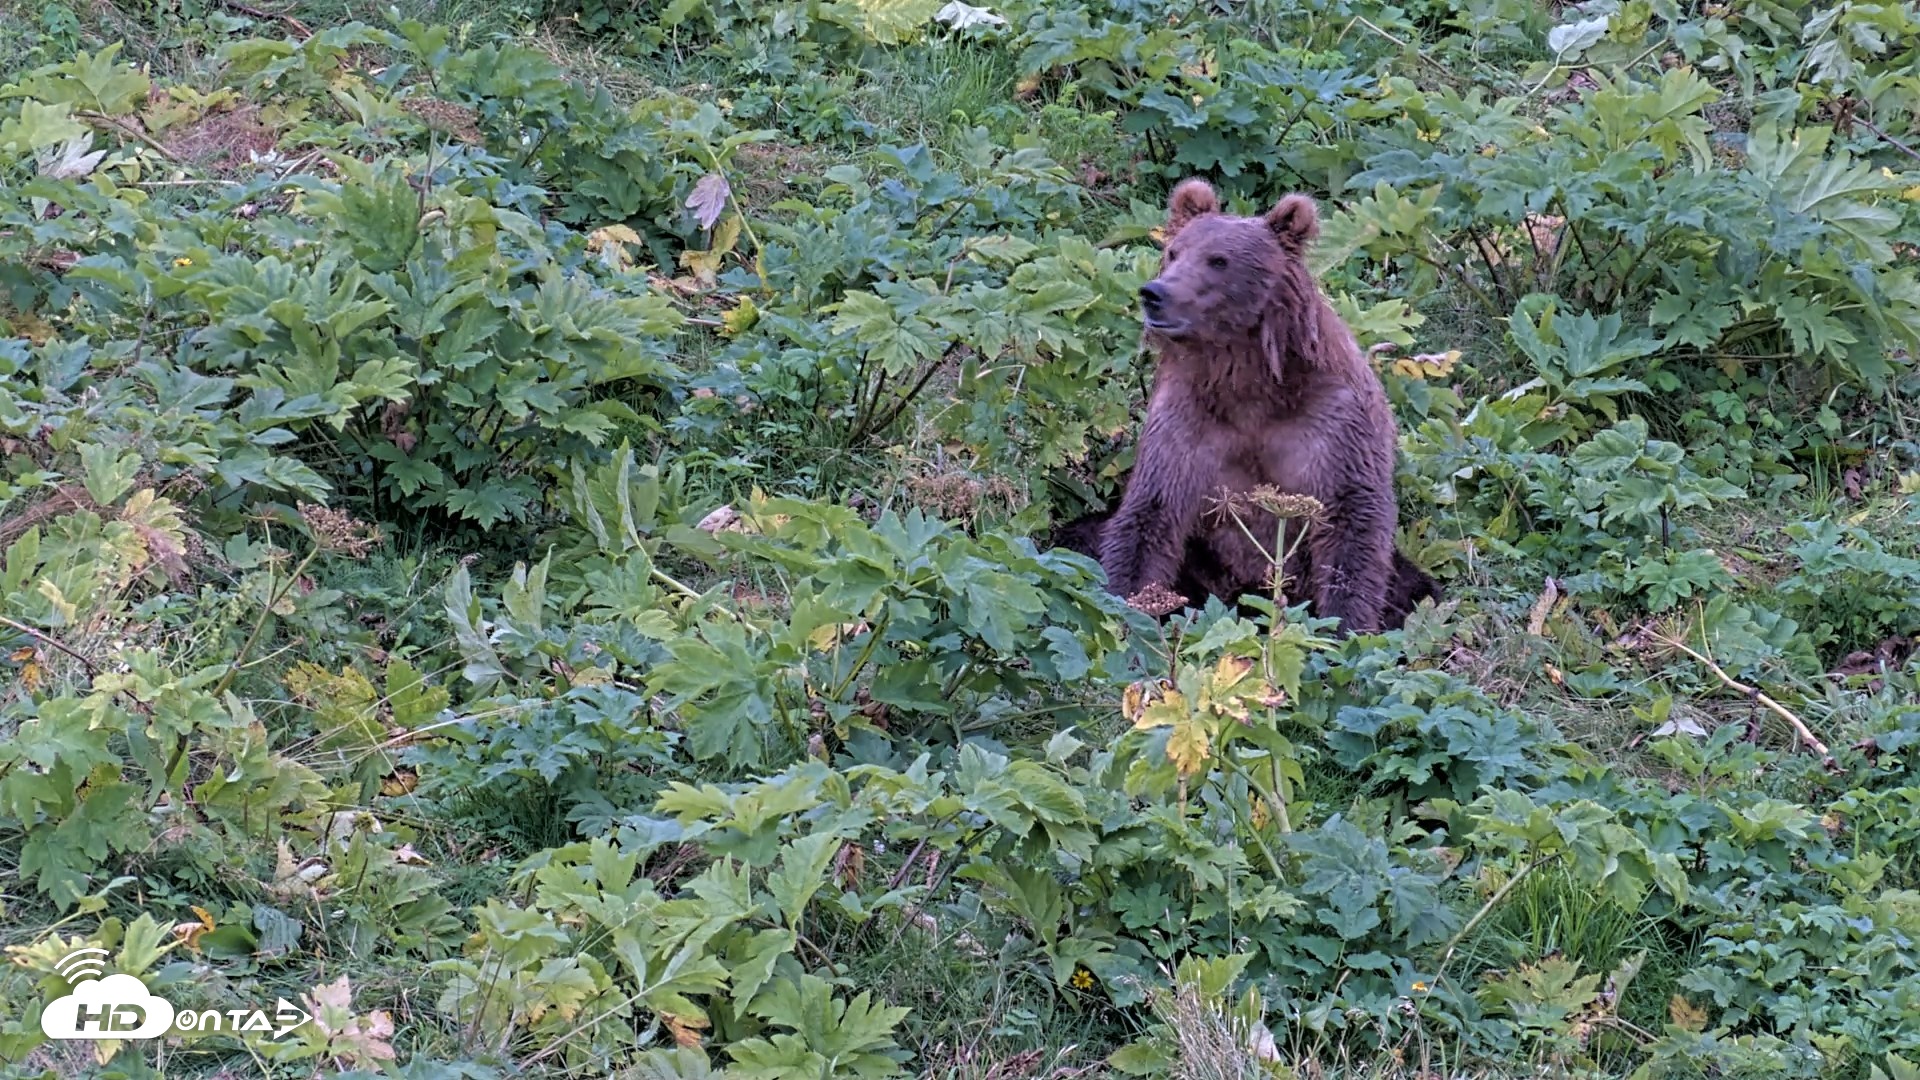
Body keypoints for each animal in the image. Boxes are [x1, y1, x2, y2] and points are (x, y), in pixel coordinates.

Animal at [1058, 177, 1436, 633]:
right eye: (1174, 251)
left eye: (1218, 260)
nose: (1155, 294)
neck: (1246, 378)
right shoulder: (1188, 422)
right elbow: (1148, 516)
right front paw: (1126, 611)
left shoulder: (1334, 423)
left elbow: (1352, 524)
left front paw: (1345, 625)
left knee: (1416, 587)